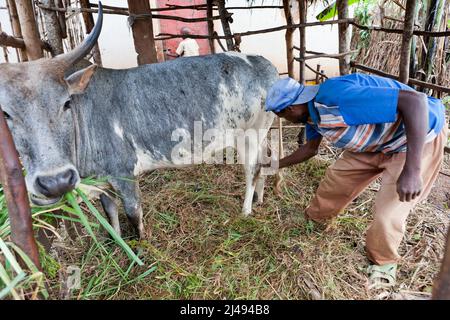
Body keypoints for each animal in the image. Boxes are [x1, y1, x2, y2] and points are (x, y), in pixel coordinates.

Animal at [0, 3, 278, 239]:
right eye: (5, 113)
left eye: (66, 103)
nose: (54, 181)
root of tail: (265, 64)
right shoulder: (103, 180)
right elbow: (110, 211)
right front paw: (115, 241)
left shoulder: (124, 174)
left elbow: (133, 212)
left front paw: (141, 245)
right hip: (261, 133)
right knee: (265, 162)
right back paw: (260, 199)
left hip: (249, 135)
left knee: (253, 169)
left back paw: (246, 210)